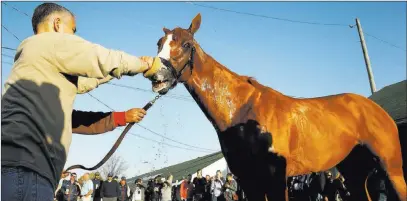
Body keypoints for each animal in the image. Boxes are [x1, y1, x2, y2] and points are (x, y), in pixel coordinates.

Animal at [145, 13, 406, 200]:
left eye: (187, 44)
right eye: (159, 43)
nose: (157, 77)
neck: (242, 112)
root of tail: (374, 108)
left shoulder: (276, 178)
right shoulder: (249, 180)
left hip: (391, 169)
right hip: (355, 173)